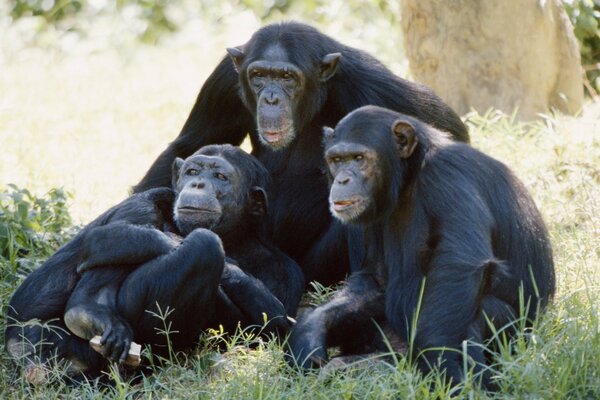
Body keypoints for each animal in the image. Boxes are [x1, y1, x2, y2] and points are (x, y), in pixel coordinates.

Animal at [6, 143, 302, 378]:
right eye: (193, 172)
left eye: (220, 177)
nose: (198, 184)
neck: (232, 237)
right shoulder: (146, 200)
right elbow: (110, 237)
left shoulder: (287, 271)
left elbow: (275, 325)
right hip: (45, 347)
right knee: (201, 246)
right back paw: (88, 312)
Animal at [131, 21, 468, 286]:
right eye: (259, 75)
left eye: (286, 78)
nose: (270, 97)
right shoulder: (224, 79)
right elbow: (193, 142)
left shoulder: (372, 85)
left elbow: (447, 132)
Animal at [288, 105, 556, 388]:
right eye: (337, 160)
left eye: (359, 158)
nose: (341, 180)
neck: (410, 174)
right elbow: (374, 279)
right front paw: (310, 330)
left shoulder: (448, 175)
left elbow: (458, 264)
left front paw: (447, 369)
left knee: (477, 312)